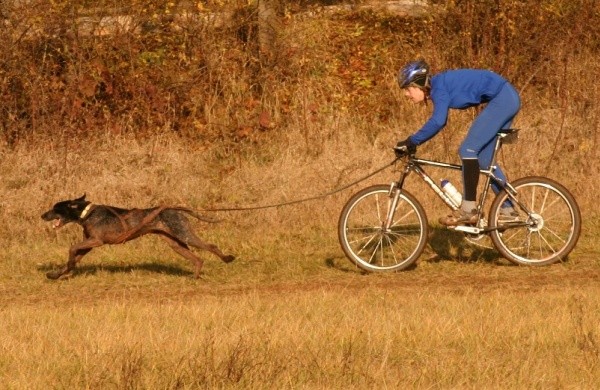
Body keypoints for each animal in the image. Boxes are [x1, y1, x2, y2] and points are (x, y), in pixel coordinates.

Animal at [41, 197, 234, 278]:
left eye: (55, 208)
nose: (42, 215)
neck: (87, 214)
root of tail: (173, 208)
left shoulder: (96, 241)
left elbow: (72, 248)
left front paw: (67, 267)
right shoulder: (88, 245)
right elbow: (72, 258)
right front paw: (58, 273)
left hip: (184, 235)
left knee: (211, 246)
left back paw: (227, 258)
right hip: (177, 244)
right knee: (197, 259)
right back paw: (195, 276)